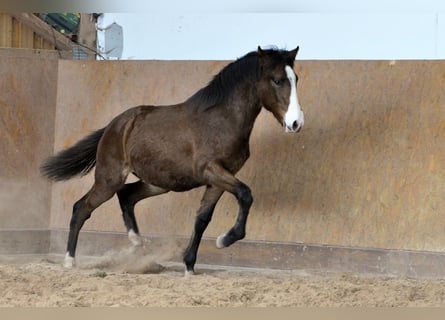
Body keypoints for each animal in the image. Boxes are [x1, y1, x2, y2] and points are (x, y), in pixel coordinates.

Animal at [40, 45, 304, 276]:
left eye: (296, 79)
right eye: (278, 80)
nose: (296, 123)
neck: (221, 120)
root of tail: (115, 125)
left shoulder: (220, 178)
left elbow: (202, 219)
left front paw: (189, 266)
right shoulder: (211, 171)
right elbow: (245, 194)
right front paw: (224, 240)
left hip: (158, 183)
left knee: (126, 196)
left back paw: (137, 241)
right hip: (109, 179)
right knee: (82, 208)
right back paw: (70, 261)